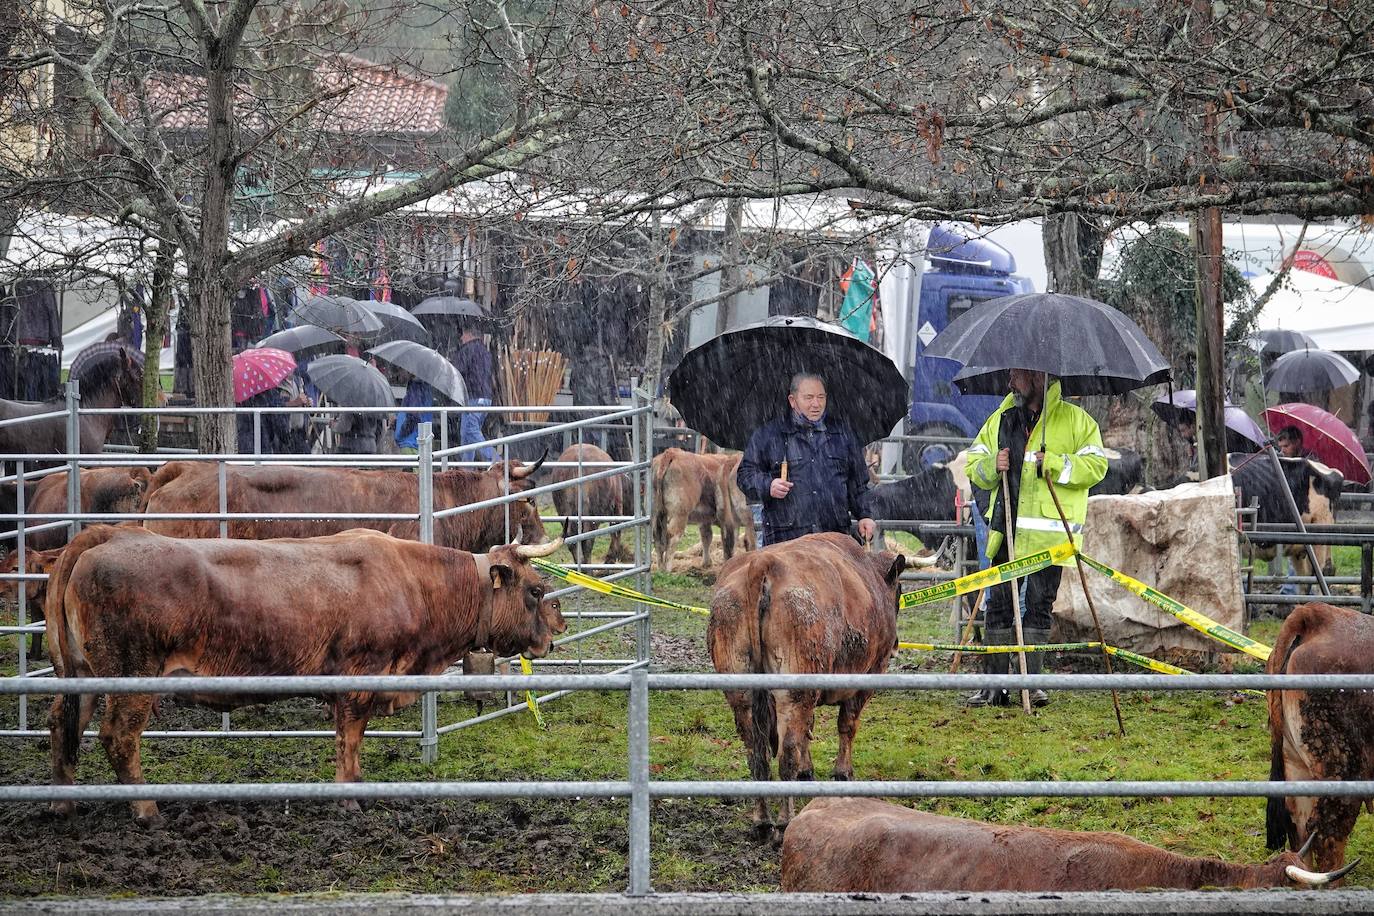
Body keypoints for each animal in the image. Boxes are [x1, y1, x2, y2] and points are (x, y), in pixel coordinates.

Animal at [47, 527, 563, 829]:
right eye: (537, 590)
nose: (556, 633)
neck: (412, 583)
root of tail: (107, 537)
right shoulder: (359, 678)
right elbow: (349, 739)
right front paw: (349, 798)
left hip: (80, 675)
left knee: (61, 724)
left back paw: (64, 803)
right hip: (132, 676)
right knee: (119, 736)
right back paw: (146, 809)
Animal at [708, 532, 912, 840]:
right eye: (899, 592)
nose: (898, 644)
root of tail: (762, 563)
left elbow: (809, 729)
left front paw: (808, 771)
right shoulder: (867, 678)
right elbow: (846, 726)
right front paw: (843, 772)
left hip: (742, 692)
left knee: (757, 754)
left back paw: (762, 821)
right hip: (795, 691)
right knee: (786, 754)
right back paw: (784, 821)